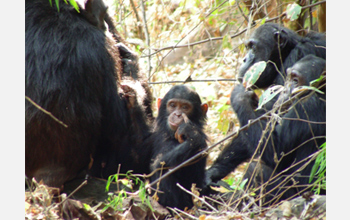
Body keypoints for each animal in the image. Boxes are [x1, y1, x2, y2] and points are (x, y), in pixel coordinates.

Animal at [208, 54, 326, 205]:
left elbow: (276, 152)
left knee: (257, 169)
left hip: (291, 197)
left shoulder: (306, 107)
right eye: (288, 78)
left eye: (295, 80)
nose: (285, 90)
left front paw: (241, 96)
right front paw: (213, 172)